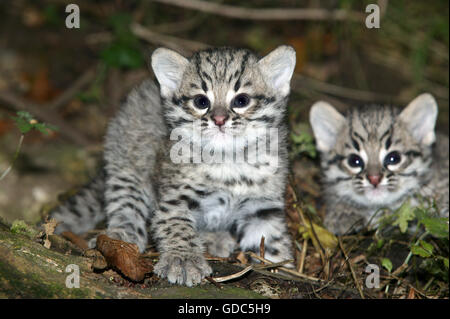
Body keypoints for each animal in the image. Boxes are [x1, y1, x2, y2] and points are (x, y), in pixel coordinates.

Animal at [49, 45, 298, 288]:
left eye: (241, 100)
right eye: (201, 102)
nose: (219, 120)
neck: (229, 159)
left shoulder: (263, 206)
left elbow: (272, 240)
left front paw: (281, 267)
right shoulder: (175, 198)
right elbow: (176, 226)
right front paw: (183, 259)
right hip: (126, 162)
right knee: (125, 203)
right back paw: (120, 236)